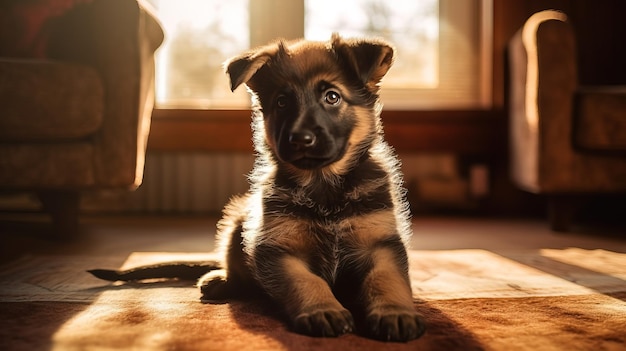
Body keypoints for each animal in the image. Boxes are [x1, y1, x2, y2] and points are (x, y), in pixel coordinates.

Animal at [90, 34, 426, 342]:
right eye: (282, 101)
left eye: (332, 97)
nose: (300, 139)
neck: (323, 189)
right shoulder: (277, 250)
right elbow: (307, 282)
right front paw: (322, 309)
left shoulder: (380, 244)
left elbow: (386, 280)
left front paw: (395, 312)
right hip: (237, 219)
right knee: (237, 270)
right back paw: (221, 281)